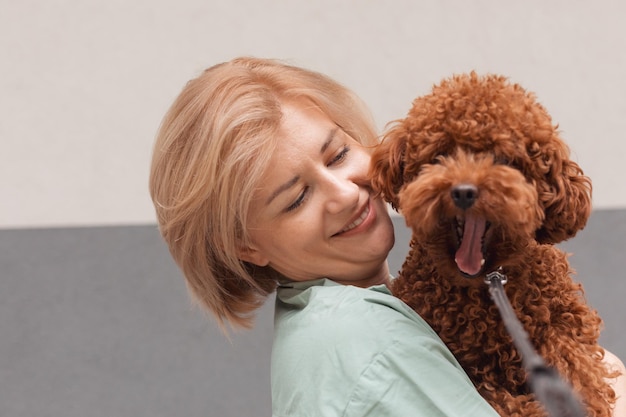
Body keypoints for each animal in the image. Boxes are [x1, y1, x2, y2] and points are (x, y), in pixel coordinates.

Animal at [368, 72, 616, 416]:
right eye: (442, 154)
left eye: (504, 159)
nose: (464, 191)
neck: (489, 284)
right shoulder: (467, 369)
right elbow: (504, 402)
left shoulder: (563, 324)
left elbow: (580, 374)